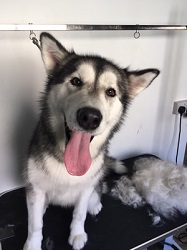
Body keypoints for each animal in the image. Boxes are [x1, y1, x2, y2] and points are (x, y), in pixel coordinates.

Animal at [23, 33, 159, 250]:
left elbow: (79, 213)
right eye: (76, 81)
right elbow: (35, 224)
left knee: (97, 189)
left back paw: (94, 204)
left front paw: (77, 234)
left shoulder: (86, 186)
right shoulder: (35, 187)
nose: (89, 117)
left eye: (111, 92)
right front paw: (33, 244)